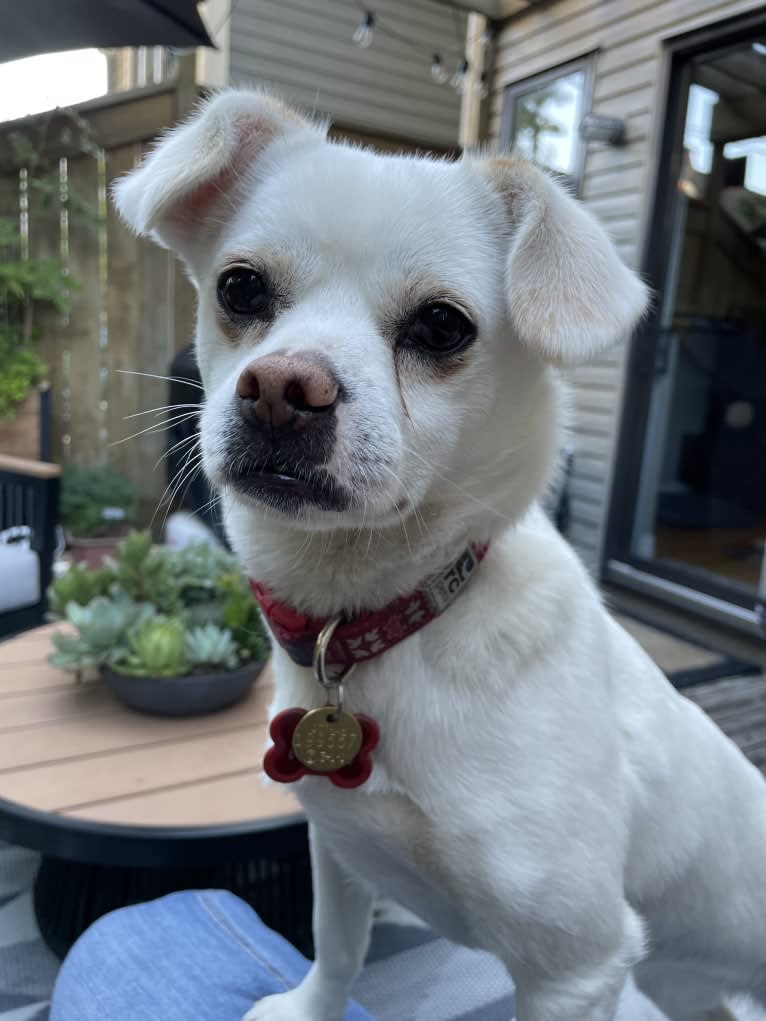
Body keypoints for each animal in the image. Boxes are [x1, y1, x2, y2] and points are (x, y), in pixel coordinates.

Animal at [113, 89, 766, 1021]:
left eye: (441, 325)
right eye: (240, 286)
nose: (280, 387)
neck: (385, 620)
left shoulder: (576, 967)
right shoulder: (340, 851)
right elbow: (339, 949)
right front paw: (310, 1008)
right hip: (682, 981)